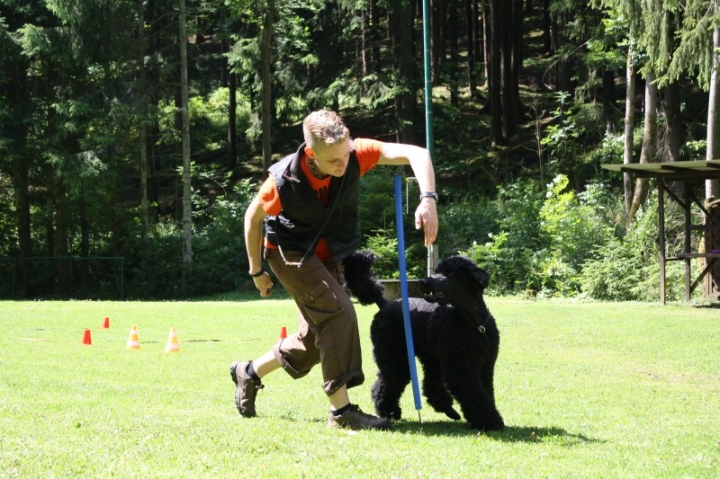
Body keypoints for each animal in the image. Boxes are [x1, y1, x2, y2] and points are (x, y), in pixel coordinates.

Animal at [344, 251, 506, 432]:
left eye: (451, 274)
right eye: (438, 270)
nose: (423, 281)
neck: (472, 321)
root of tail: (385, 304)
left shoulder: (485, 366)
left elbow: (486, 392)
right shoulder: (460, 369)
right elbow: (476, 395)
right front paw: (490, 421)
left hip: (431, 358)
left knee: (430, 386)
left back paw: (447, 409)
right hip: (395, 357)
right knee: (387, 383)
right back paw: (389, 411)